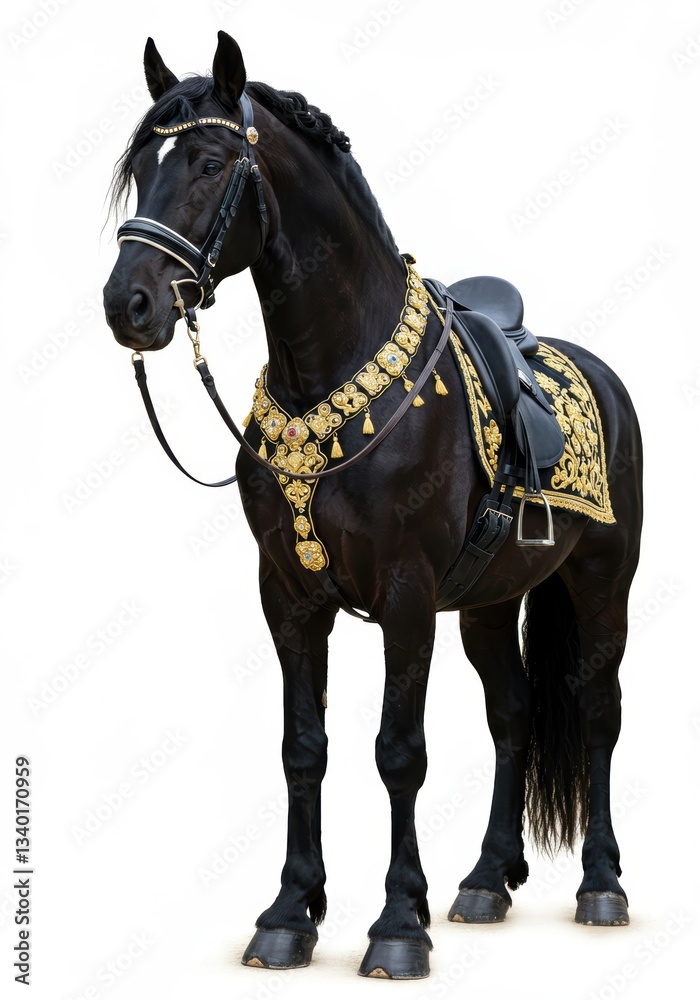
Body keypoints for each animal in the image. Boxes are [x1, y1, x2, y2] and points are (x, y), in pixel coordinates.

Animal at [103, 31, 643, 981]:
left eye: (208, 163)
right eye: (138, 172)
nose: (127, 304)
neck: (332, 371)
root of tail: (602, 376)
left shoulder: (405, 594)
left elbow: (400, 752)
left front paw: (397, 924)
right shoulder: (288, 595)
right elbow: (302, 748)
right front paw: (290, 914)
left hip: (603, 583)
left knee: (596, 711)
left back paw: (601, 886)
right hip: (491, 601)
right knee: (511, 713)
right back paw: (485, 881)